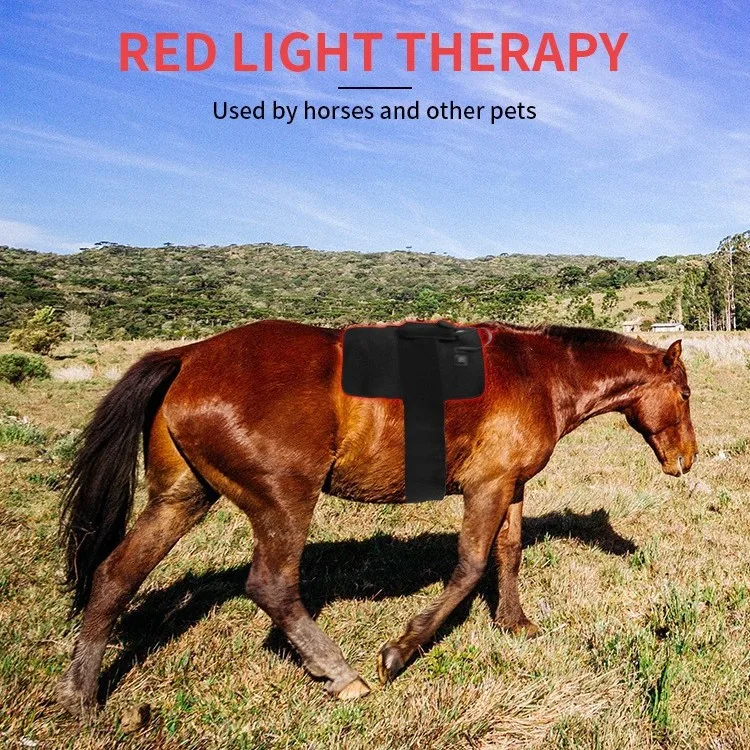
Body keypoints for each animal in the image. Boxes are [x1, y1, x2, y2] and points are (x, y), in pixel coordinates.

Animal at [56, 320, 697, 714]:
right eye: (686, 394)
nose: (686, 459)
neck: (536, 373)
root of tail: (187, 355)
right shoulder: (486, 488)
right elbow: (469, 568)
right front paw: (402, 649)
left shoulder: (510, 485)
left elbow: (508, 554)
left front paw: (514, 623)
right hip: (283, 500)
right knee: (272, 587)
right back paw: (341, 674)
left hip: (181, 499)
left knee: (115, 576)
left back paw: (81, 695)